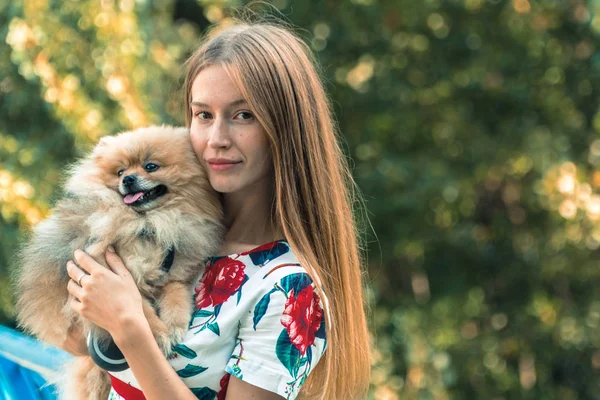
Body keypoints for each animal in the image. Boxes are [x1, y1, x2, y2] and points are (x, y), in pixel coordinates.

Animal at [14, 126, 225, 400]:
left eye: (151, 166)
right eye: (120, 172)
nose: (128, 180)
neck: (147, 225)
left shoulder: (173, 272)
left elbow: (176, 296)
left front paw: (174, 324)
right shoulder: (114, 274)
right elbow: (141, 310)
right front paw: (159, 333)